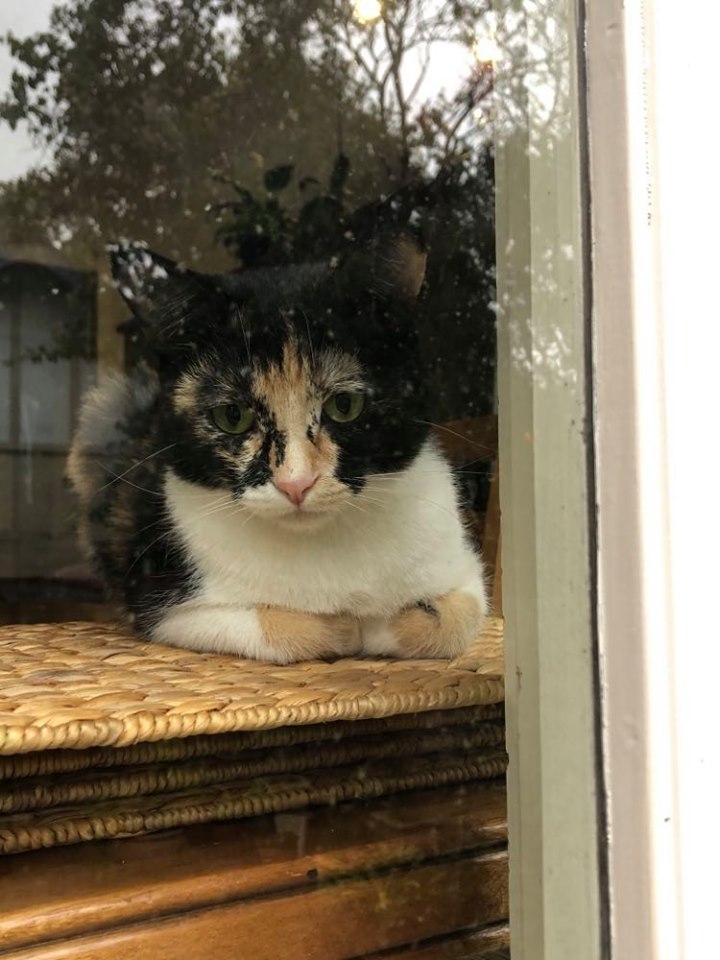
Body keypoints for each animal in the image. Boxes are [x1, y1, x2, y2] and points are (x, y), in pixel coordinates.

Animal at [67, 232, 487, 663]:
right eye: (232, 415)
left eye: (345, 405)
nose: (296, 484)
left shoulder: (464, 569)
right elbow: (284, 625)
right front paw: (347, 627)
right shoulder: (167, 606)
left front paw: (378, 622)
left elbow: (456, 619)